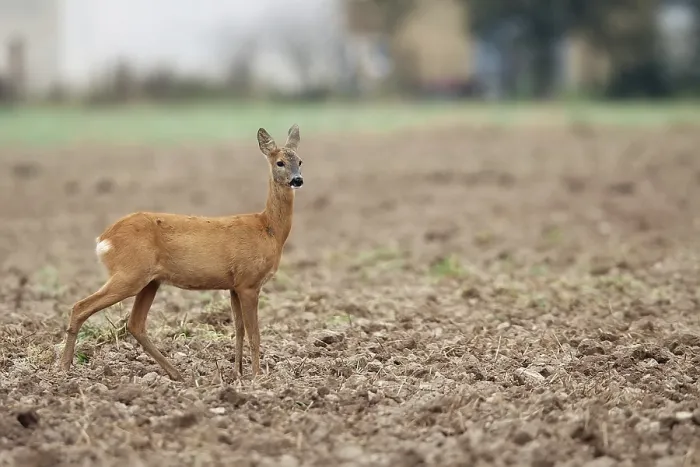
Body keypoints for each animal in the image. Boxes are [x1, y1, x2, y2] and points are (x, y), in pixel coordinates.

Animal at [59, 124, 304, 381]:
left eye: (300, 161)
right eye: (279, 162)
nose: (297, 180)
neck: (268, 229)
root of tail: (104, 238)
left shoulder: (235, 285)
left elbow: (238, 330)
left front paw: (237, 373)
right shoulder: (249, 282)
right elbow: (254, 333)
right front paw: (257, 377)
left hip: (150, 281)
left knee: (135, 324)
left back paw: (177, 374)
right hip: (129, 274)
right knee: (80, 307)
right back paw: (64, 367)